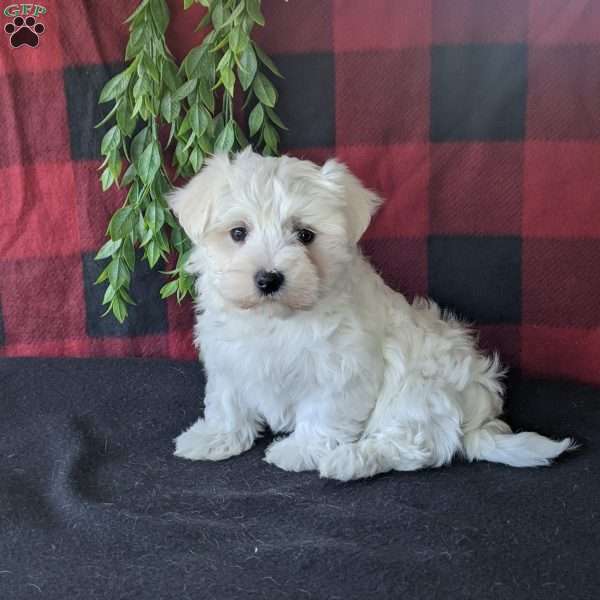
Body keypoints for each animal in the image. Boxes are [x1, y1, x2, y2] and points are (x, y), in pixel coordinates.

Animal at [168, 148, 572, 480]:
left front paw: (300, 451)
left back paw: (347, 461)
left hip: (418, 390)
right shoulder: (228, 359)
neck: (277, 319)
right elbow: (227, 401)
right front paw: (214, 437)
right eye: (238, 232)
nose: (268, 278)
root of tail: (477, 419)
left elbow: (323, 414)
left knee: (413, 446)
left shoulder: (341, 371)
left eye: (305, 235)